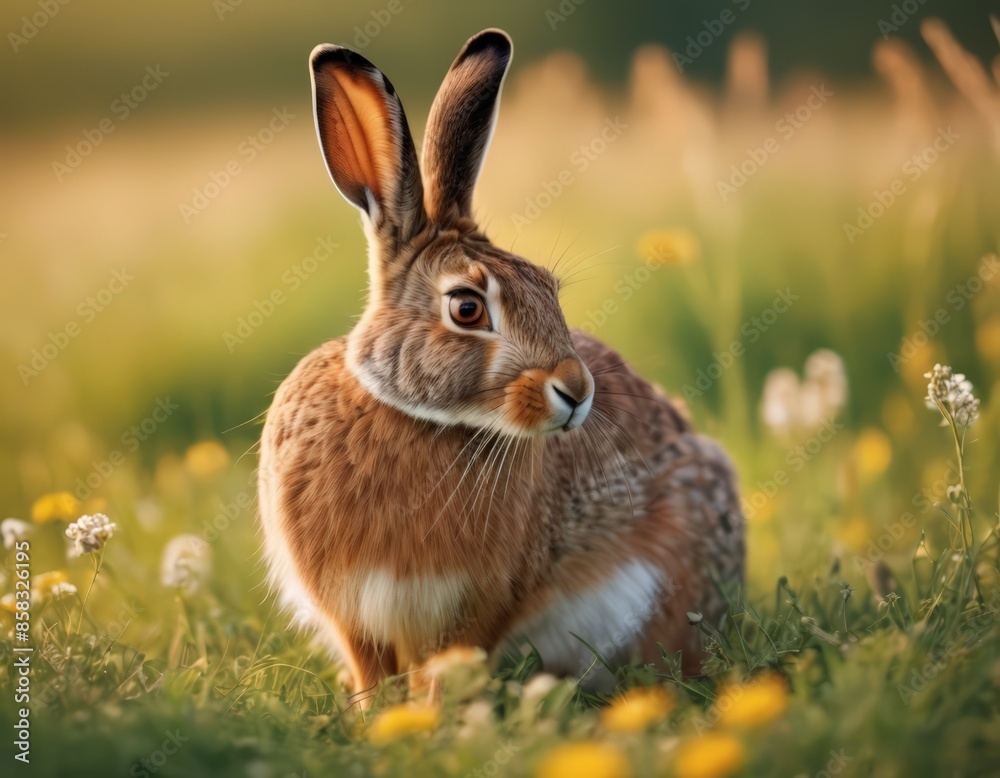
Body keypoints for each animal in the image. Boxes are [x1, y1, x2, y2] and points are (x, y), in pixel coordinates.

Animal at [257, 28, 744, 705]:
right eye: (467, 308)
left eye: (549, 289)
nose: (578, 391)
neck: (419, 418)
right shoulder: (353, 612)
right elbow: (371, 672)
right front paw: (380, 718)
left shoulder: (485, 604)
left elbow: (451, 664)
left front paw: (433, 717)